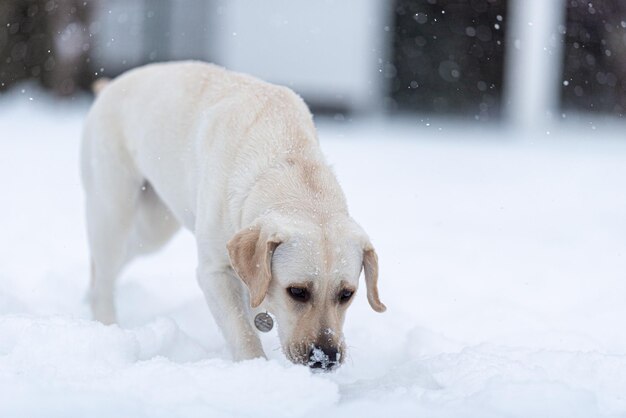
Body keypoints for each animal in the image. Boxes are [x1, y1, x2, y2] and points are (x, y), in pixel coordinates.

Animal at [80, 61, 382, 370]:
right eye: (297, 291)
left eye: (346, 294)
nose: (325, 358)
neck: (288, 159)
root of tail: (111, 84)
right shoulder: (215, 271)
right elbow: (242, 330)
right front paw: (256, 367)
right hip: (113, 211)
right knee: (104, 277)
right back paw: (106, 326)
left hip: (153, 228)